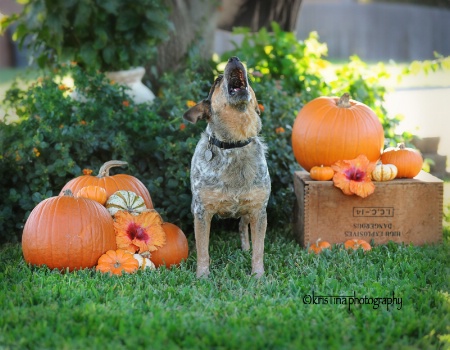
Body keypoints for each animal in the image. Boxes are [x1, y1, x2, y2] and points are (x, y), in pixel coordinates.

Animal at [182, 56, 270, 278]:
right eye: (216, 81)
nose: (234, 58)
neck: (235, 144)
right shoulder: (202, 211)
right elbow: (203, 250)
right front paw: (202, 276)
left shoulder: (259, 210)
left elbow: (259, 250)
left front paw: (258, 276)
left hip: (247, 213)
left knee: (242, 227)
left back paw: (245, 248)